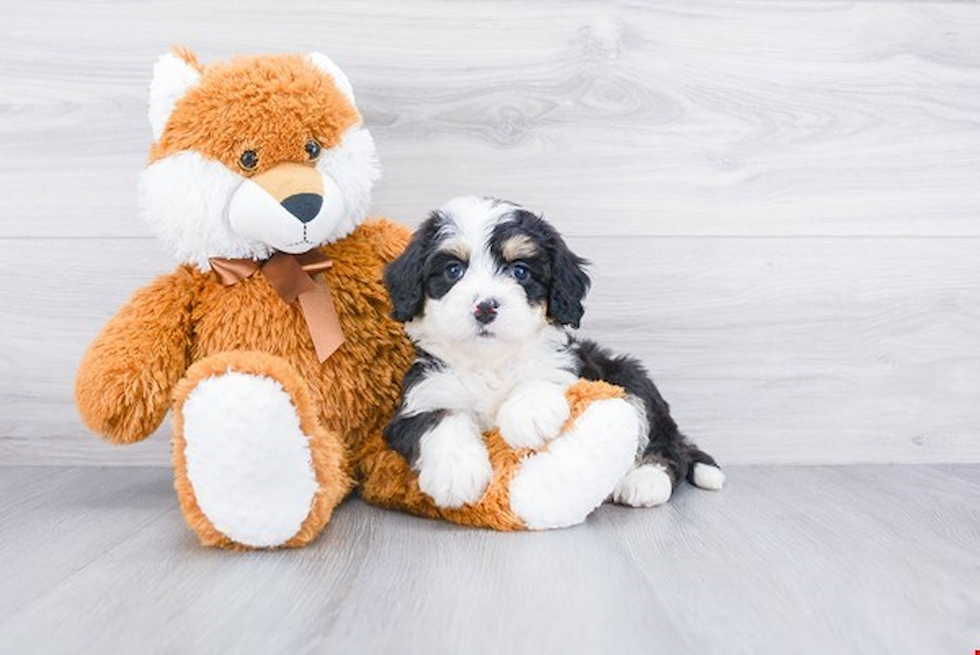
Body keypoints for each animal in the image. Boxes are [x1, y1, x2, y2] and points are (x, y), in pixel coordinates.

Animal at [384, 197, 728, 510]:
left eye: (520, 271)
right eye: (453, 270)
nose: (485, 307)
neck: (491, 361)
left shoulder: (570, 369)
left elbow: (543, 376)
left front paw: (529, 413)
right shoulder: (420, 397)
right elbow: (440, 418)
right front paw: (456, 472)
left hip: (630, 376)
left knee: (670, 448)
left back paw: (646, 481)